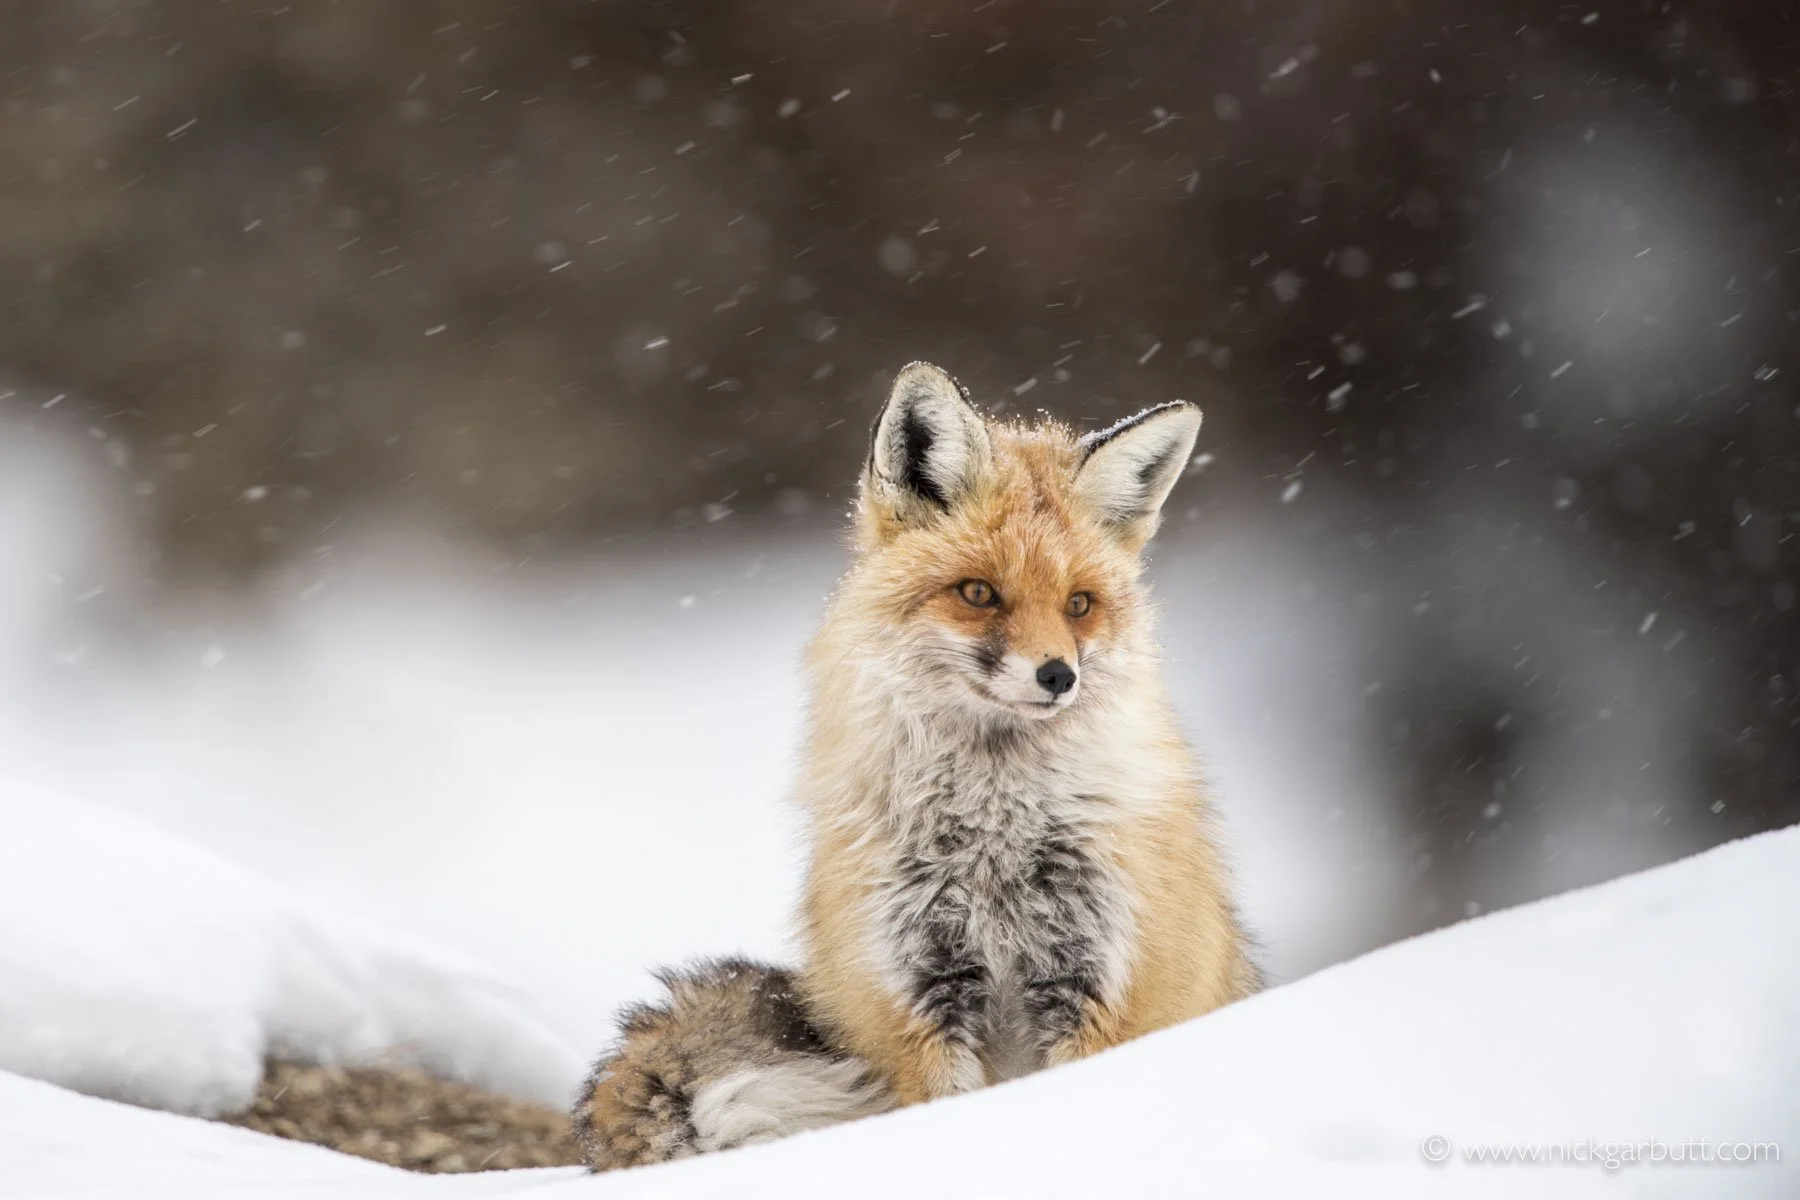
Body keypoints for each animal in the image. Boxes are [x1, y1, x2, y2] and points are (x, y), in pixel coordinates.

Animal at [574, 362, 1259, 1170]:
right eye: (978, 593)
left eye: (1079, 604)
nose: (1058, 675)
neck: (997, 836)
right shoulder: (920, 997)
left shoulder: (1100, 985)